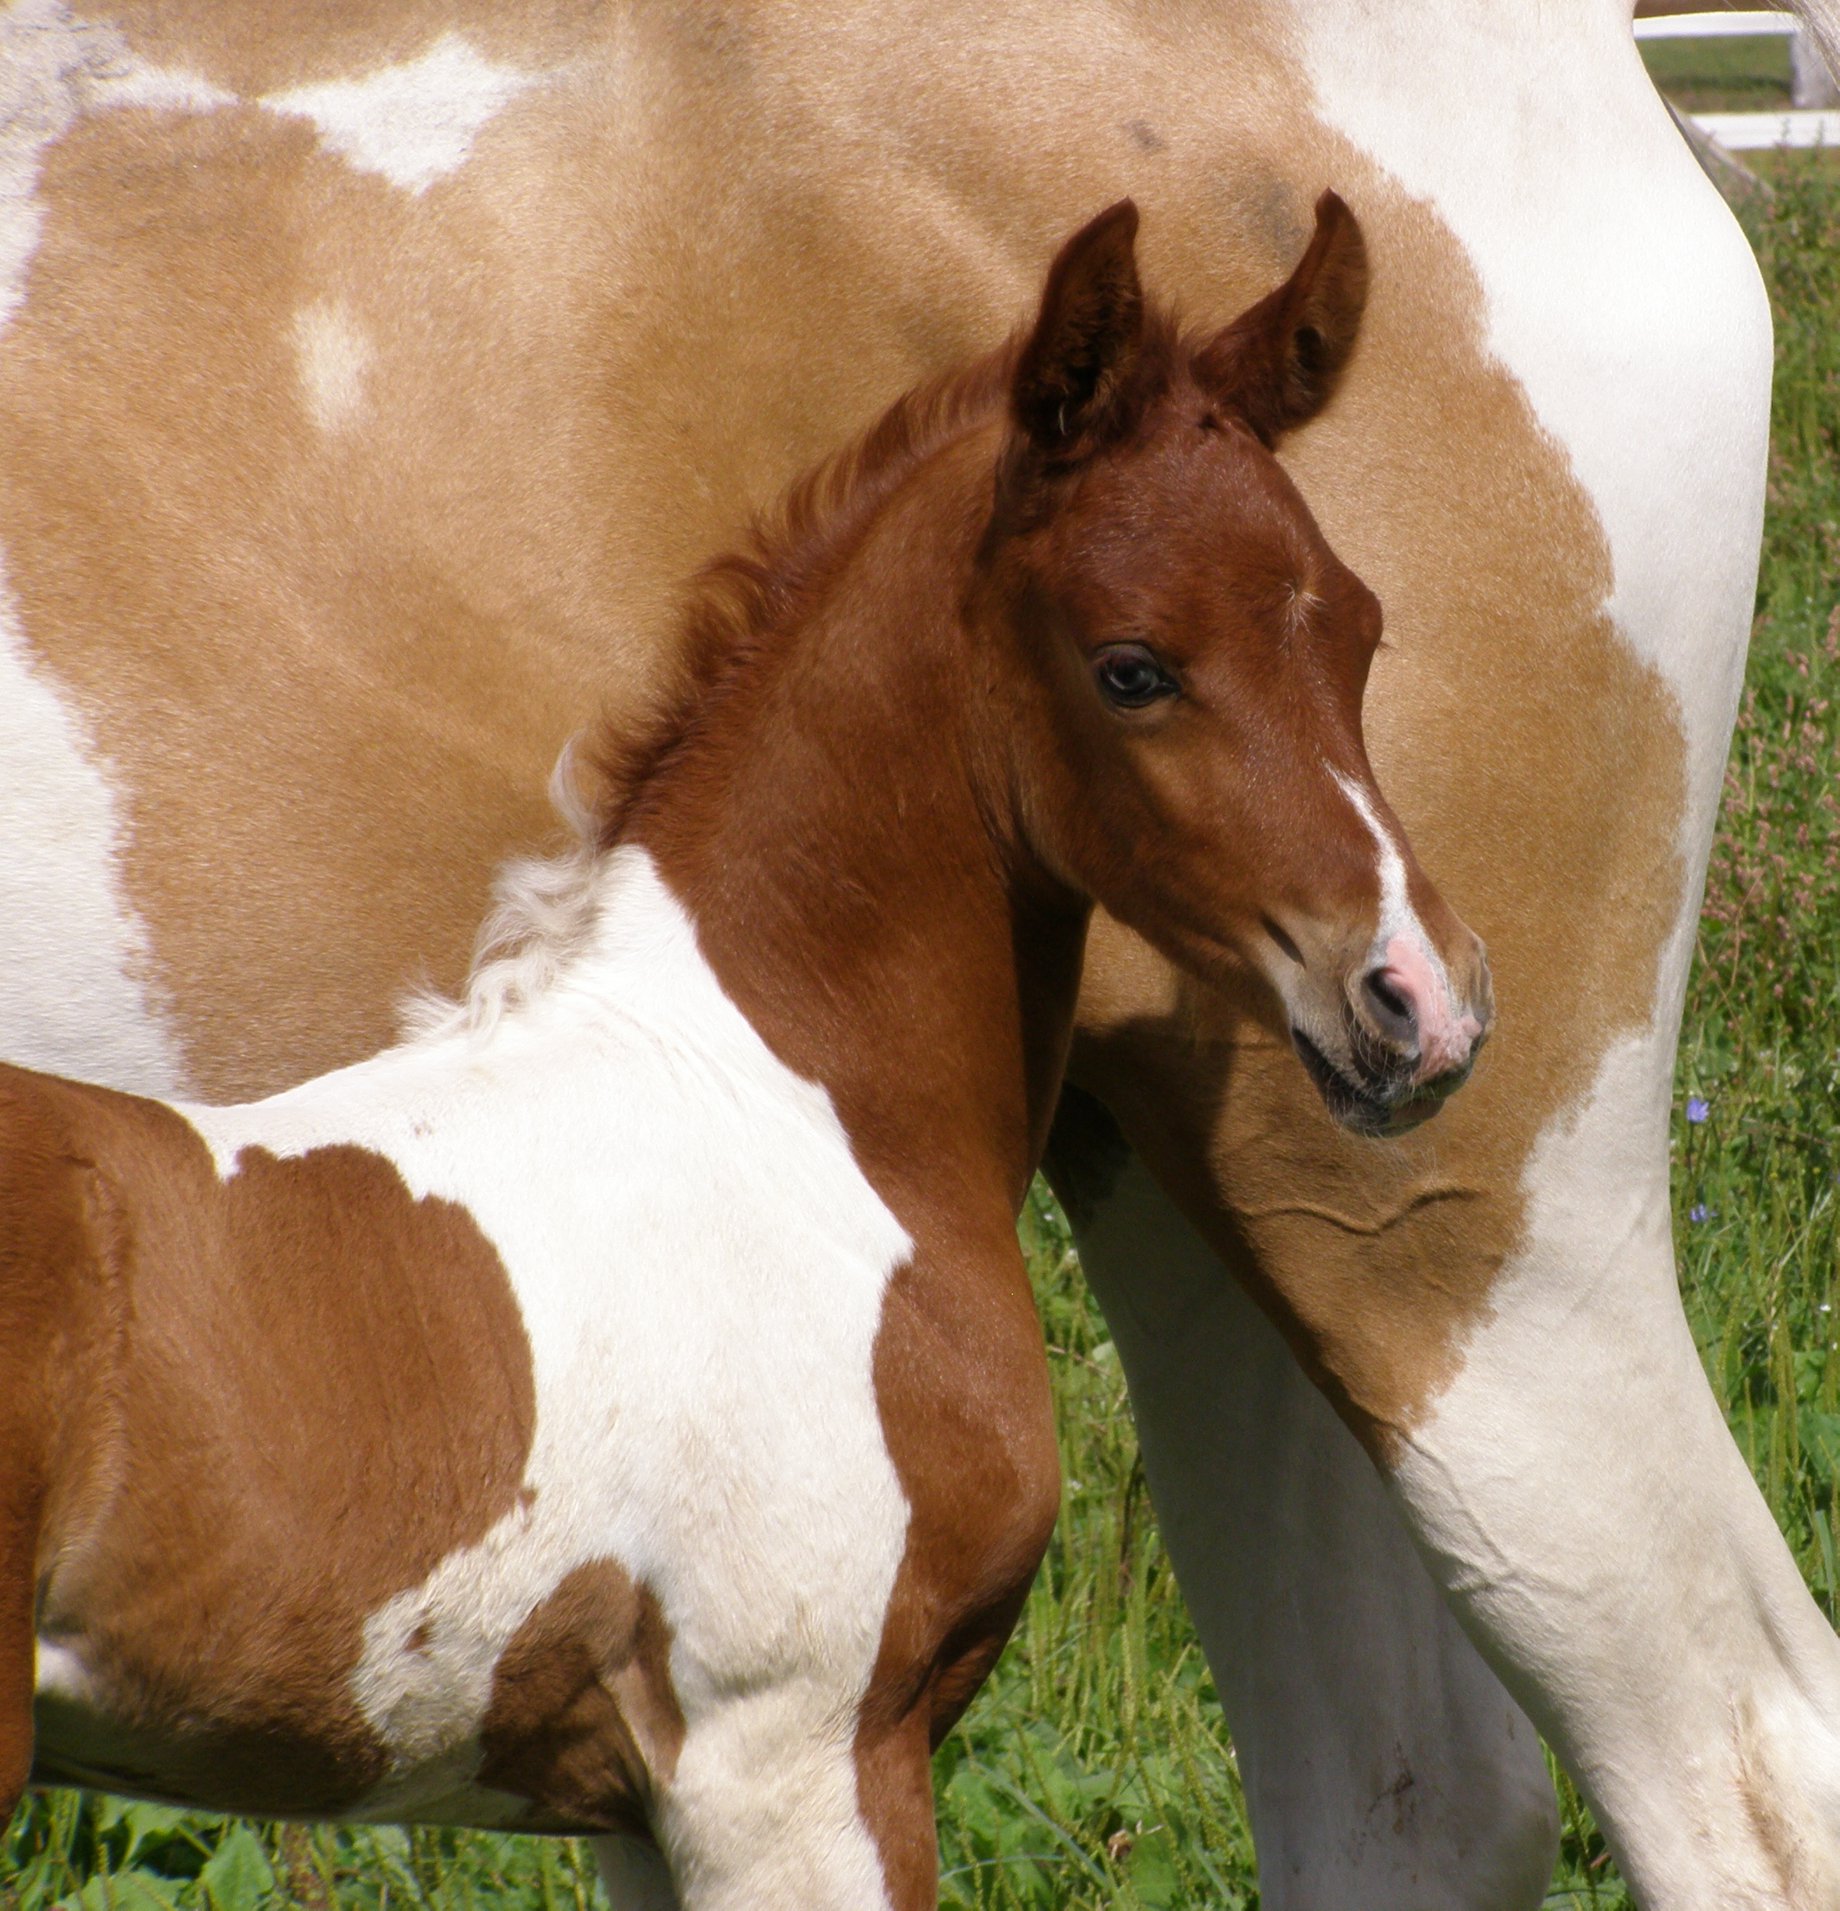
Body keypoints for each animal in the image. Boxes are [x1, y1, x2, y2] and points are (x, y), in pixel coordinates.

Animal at [0, 197, 1490, 1911]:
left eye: (1359, 628)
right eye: (1132, 665)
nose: (1418, 1001)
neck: (788, 1109)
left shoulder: (643, 1799)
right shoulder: (793, 1758)